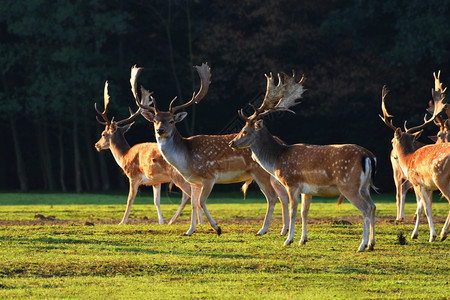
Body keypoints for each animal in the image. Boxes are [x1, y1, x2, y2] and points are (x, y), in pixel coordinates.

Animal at [94, 69, 194, 225]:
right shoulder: (155, 181)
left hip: (178, 175)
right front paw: (161, 221)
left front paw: (122, 222)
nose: (96, 145)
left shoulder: (133, 176)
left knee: (189, 194)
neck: (124, 156)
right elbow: (156, 201)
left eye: (103, 134)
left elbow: (130, 199)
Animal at [134, 62, 290, 237]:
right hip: (273, 174)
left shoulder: (209, 176)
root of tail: (281, 143)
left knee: (272, 197)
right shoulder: (194, 181)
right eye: (155, 120)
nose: (160, 130)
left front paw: (217, 228)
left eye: (172, 120)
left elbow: (202, 201)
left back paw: (262, 230)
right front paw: (189, 231)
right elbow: (194, 203)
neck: (186, 159)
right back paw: (284, 230)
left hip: (260, 172)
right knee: (283, 195)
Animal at [230, 71, 378, 252]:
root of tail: (368, 156)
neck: (277, 159)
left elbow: (293, 211)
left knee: (365, 209)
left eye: (244, 131)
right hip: (365, 187)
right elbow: (304, 212)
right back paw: (371, 243)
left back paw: (362, 245)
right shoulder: (307, 190)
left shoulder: (291, 183)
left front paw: (288, 240)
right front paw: (303, 240)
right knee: (373, 207)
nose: (232, 143)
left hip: (349, 184)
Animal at [380, 71, 450, 243]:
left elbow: (425, 208)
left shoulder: (418, 183)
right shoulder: (425, 186)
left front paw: (431, 235)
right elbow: (420, 209)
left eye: (392, 141)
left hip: (441, 179)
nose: (393, 156)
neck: (408, 159)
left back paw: (442, 233)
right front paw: (415, 233)